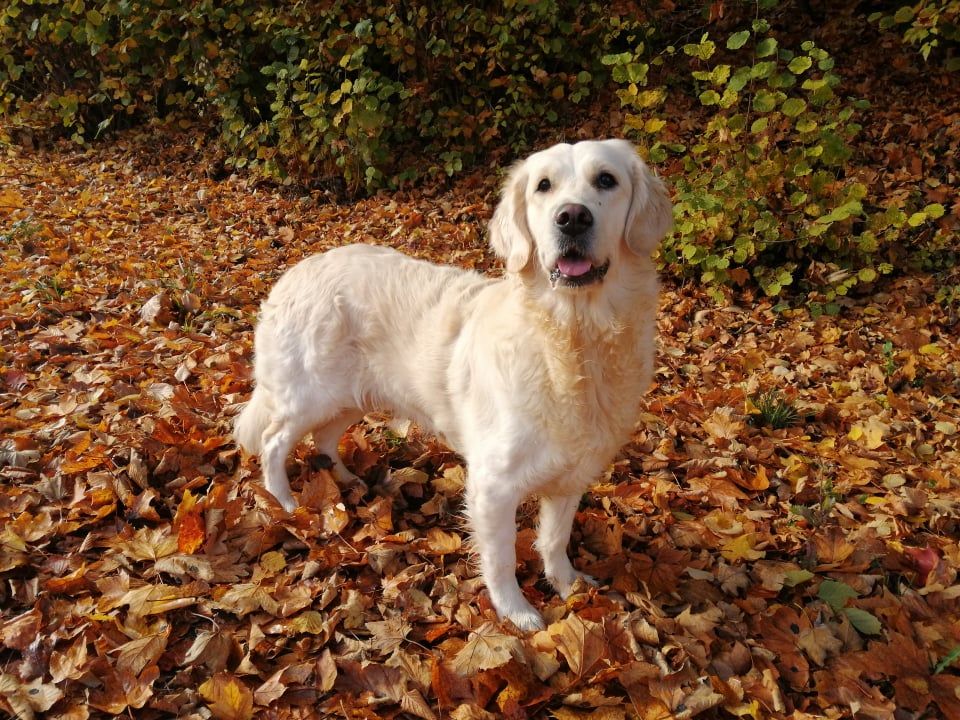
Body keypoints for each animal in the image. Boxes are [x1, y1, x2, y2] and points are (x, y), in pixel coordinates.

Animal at [235, 141, 672, 632]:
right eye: (544, 186)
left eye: (606, 180)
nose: (572, 218)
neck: (573, 338)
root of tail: (294, 273)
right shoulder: (493, 485)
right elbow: (501, 559)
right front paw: (516, 612)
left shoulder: (570, 474)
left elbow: (555, 540)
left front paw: (569, 586)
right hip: (310, 391)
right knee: (274, 441)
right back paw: (286, 503)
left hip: (350, 394)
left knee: (325, 437)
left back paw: (347, 481)